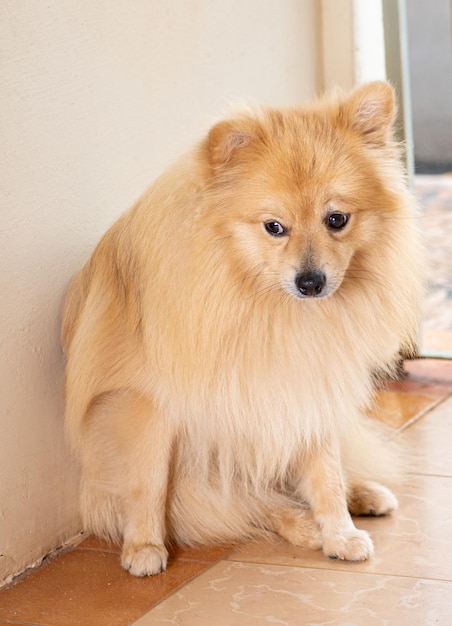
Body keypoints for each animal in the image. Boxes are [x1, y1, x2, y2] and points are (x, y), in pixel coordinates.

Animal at [62, 83, 424, 576]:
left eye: (337, 219)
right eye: (274, 227)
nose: (310, 282)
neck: (263, 305)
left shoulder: (310, 388)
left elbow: (326, 474)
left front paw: (340, 531)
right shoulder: (145, 404)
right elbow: (147, 481)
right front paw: (143, 546)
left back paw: (361, 496)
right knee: (254, 500)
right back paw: (304, 525)